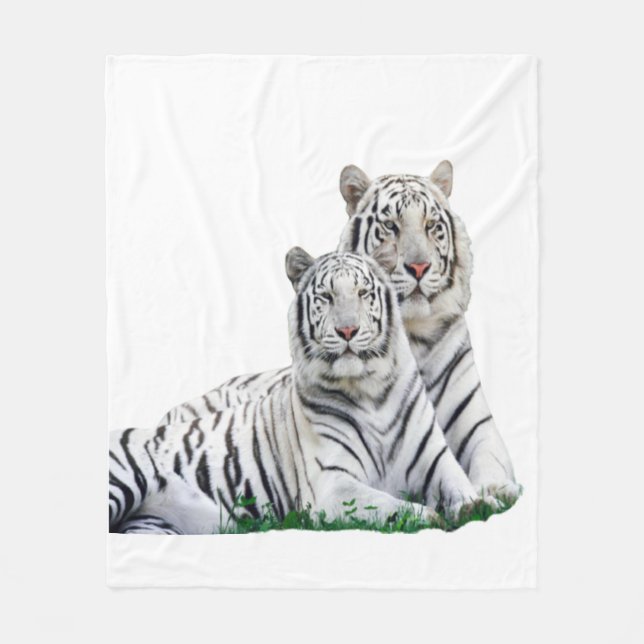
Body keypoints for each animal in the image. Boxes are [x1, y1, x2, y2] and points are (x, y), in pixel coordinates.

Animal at [110, 247, 480, 534]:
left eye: (363, 293)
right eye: (326, 297)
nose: (347, 330)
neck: (371, 391)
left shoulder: (435, 459)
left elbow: (463, 488)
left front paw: (473, 507)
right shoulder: (332, 485)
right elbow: (386, 504)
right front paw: (431, 517)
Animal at [159, 161, 520, 502]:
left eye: (431, 226)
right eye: (391, 226)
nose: (418, 267)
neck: (411, 335)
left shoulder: (477, 426)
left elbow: (488, 460)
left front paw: (494, 490)